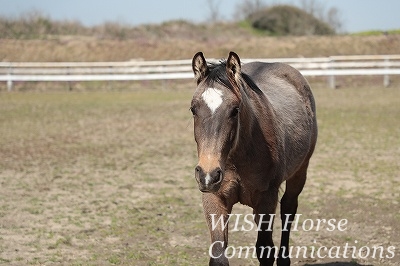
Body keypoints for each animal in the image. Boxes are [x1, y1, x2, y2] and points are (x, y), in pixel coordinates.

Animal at [191, 52, 318, 266]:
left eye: (235, 110)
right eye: (193, 109)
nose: (208, 175)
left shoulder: (266, 198)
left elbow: (265, 251)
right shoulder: (214, 198)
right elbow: (218, 255)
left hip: (300, 171)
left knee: (288, 209)